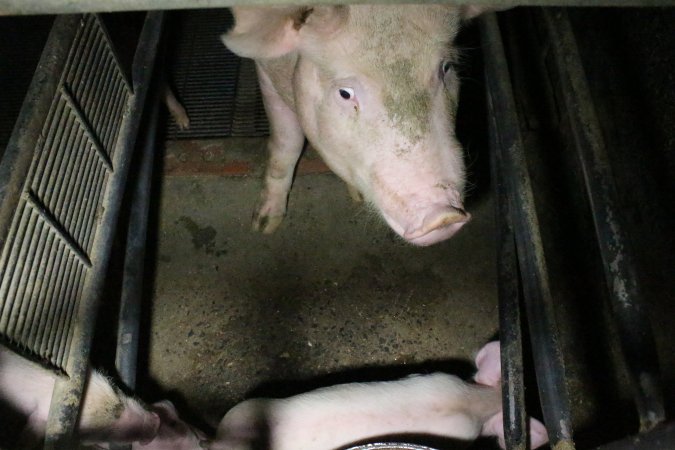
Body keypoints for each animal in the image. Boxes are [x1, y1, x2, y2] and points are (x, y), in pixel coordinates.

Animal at [219, 4, 484, 246]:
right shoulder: (265, 72)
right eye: (345, 93)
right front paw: (263, 226)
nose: (443, 216)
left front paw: (357, 196)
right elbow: (287, 143)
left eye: (446, 68)